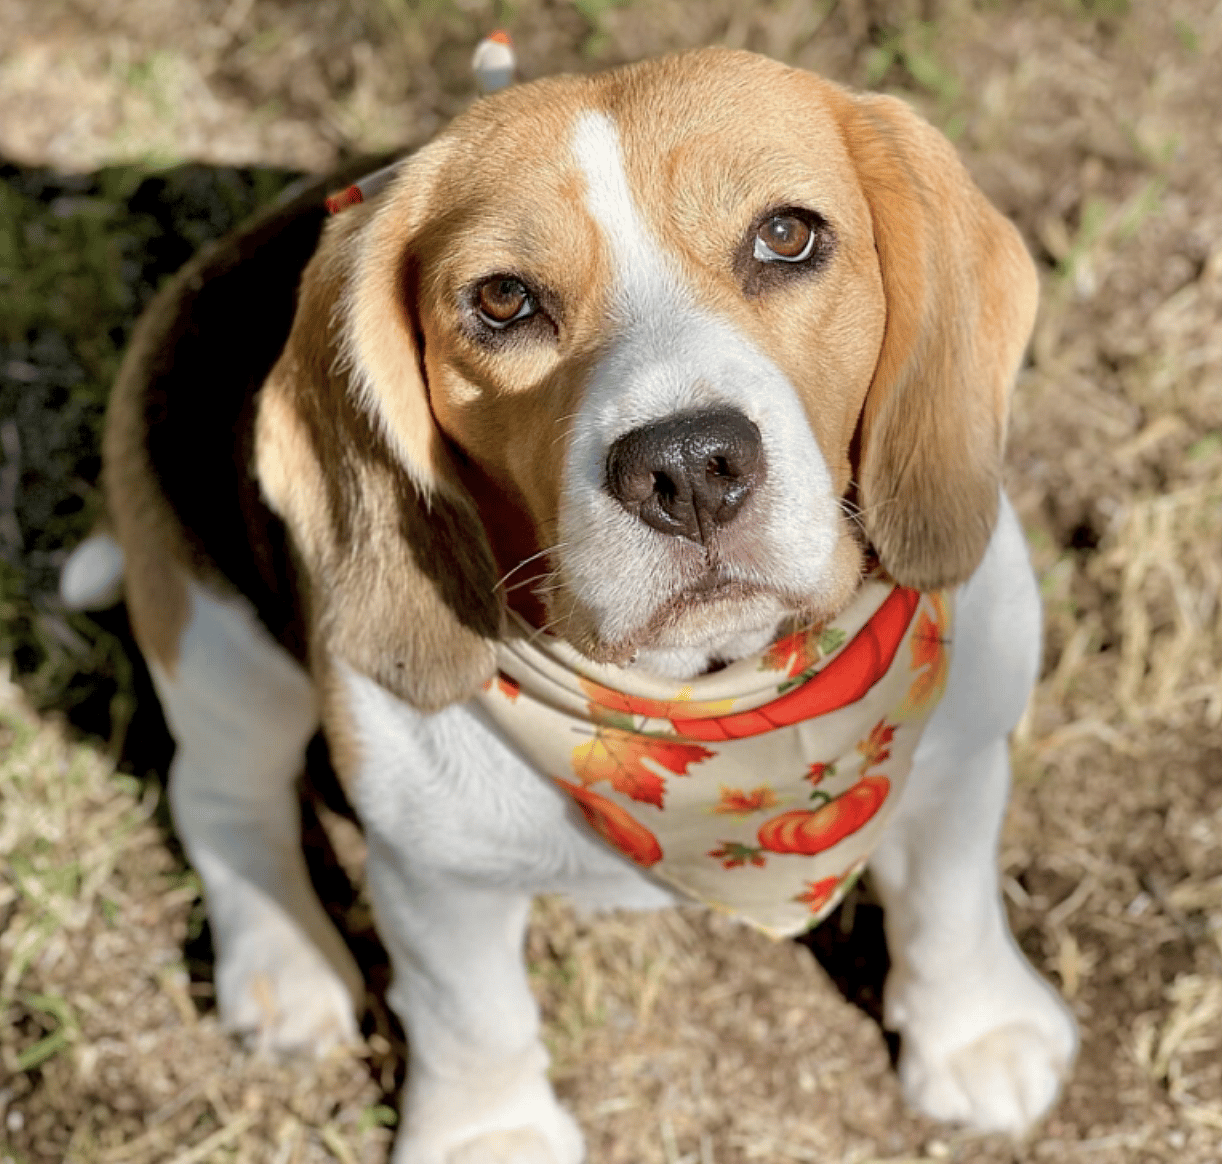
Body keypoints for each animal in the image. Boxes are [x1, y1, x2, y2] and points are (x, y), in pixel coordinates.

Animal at [65, 47, 1077, 1164]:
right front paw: (487, 1135)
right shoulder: (435, 865)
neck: (710, 705)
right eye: (504, 300)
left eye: (786, 235)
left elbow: (948, 896)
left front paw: (975, 1033)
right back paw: (284, 970)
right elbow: (470, 1010)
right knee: (218, 795)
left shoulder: (962, 746)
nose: (687, 468)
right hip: (221, 649)